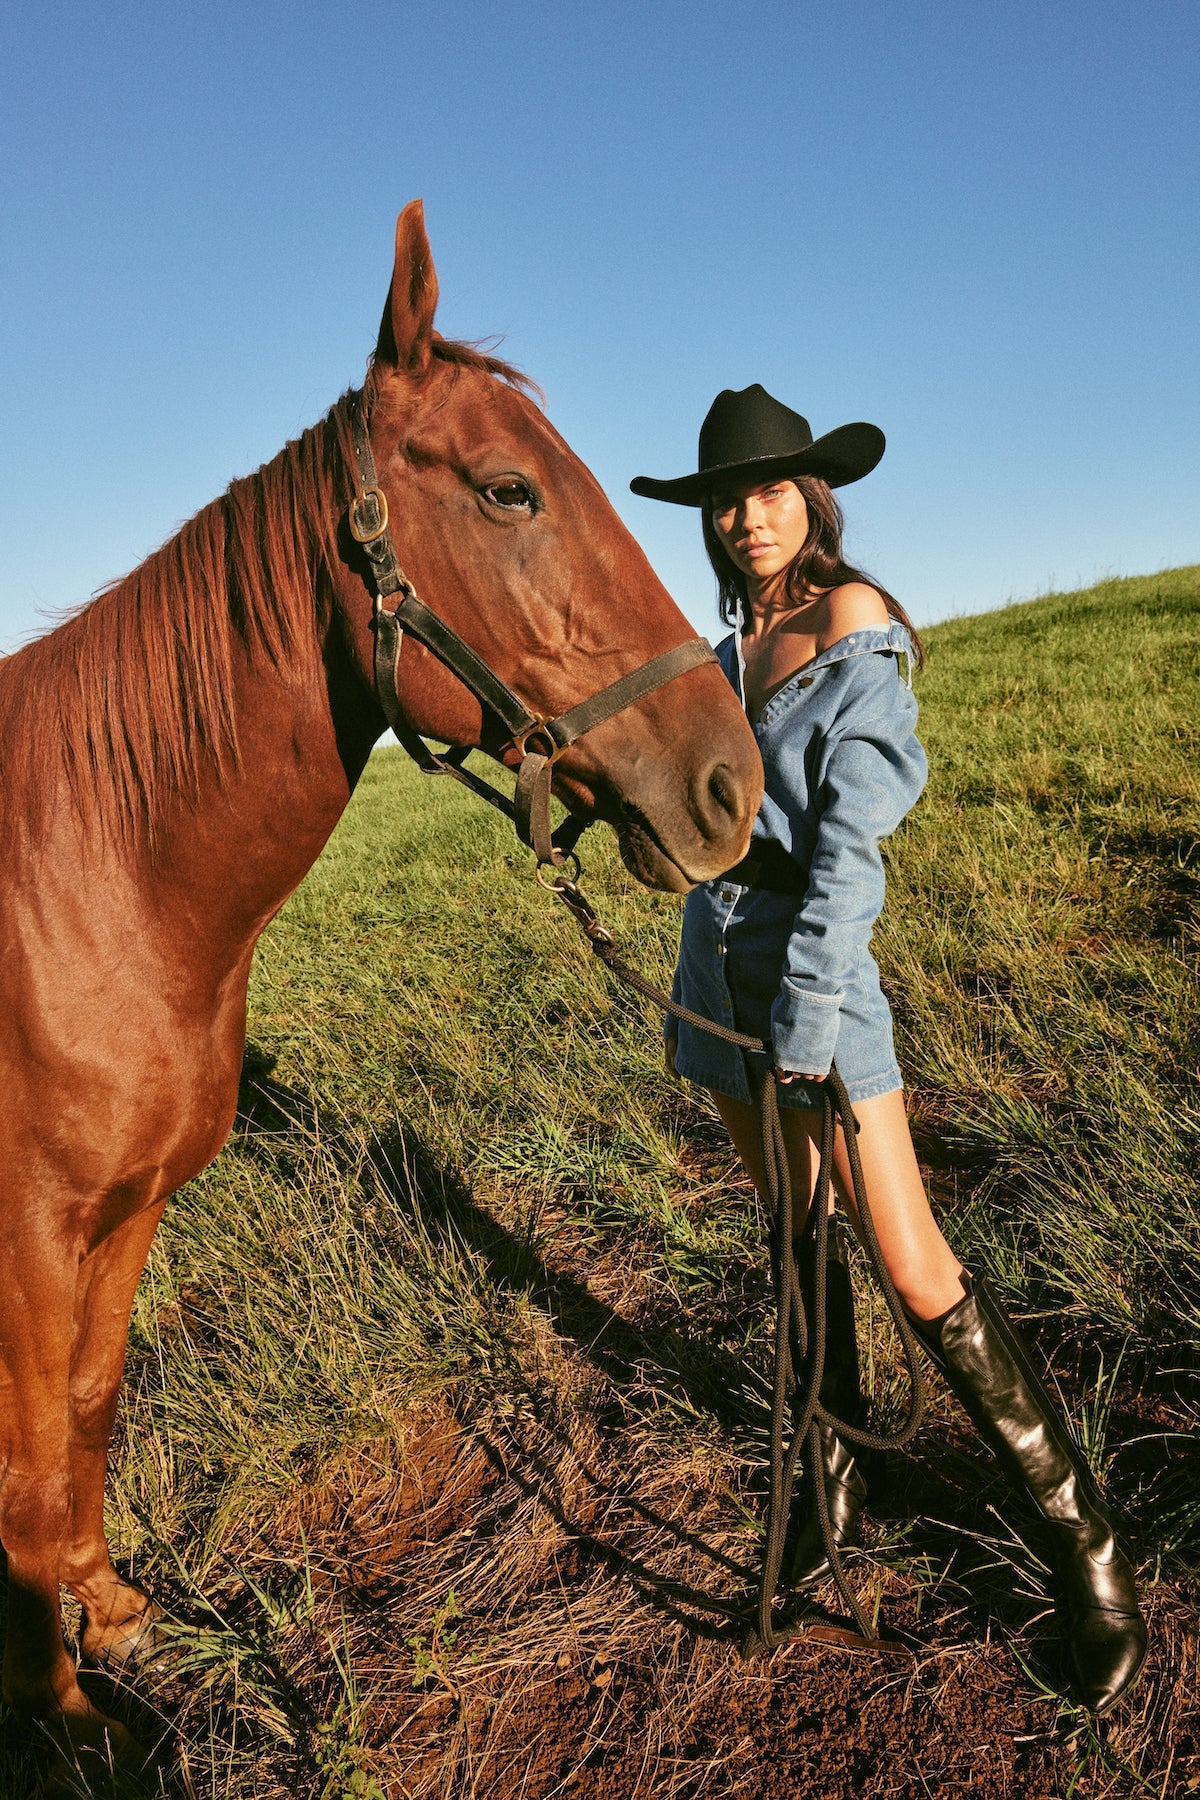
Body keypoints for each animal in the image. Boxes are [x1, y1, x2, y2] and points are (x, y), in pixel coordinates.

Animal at [0, 200, 759, 1756]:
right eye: (510, 490)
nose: (732, 781)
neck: (90, 884)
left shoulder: (122, 1219)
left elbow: (87, 1417)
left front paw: (110, 1616)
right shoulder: (26, 1246)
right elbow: (29, 1473)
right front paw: (59, 1726)